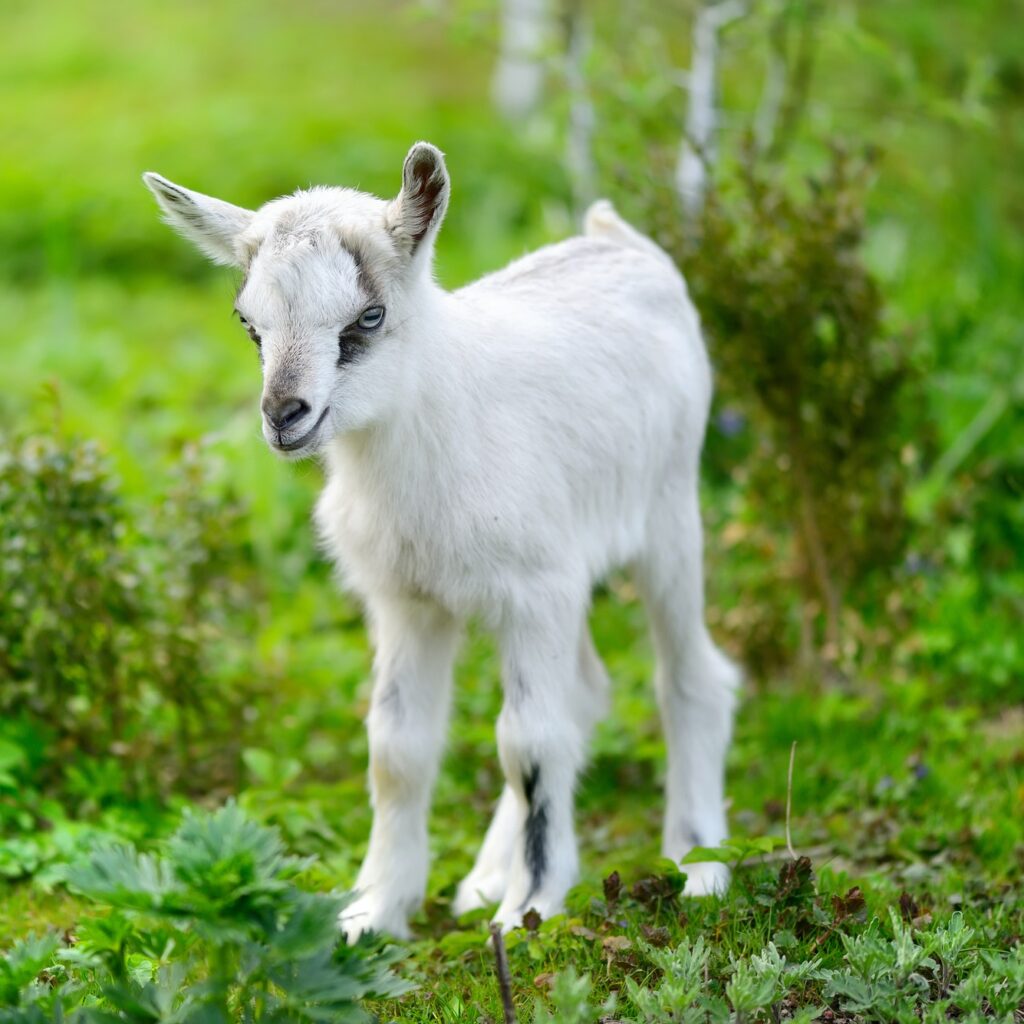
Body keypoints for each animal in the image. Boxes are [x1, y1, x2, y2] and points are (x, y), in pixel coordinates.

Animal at [144, 142, 737, 937]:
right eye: (247, 322)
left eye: (369, 316)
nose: (284, 415)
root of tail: (616, 239)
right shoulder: (407, 601)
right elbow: (398, 749)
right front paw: (373, 910)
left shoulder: (536, 593)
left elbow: (529, 742)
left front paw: (529, 910)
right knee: (586, 691)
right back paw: (484, 877)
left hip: (669, 513)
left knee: (689, 678)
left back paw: (697, 864)